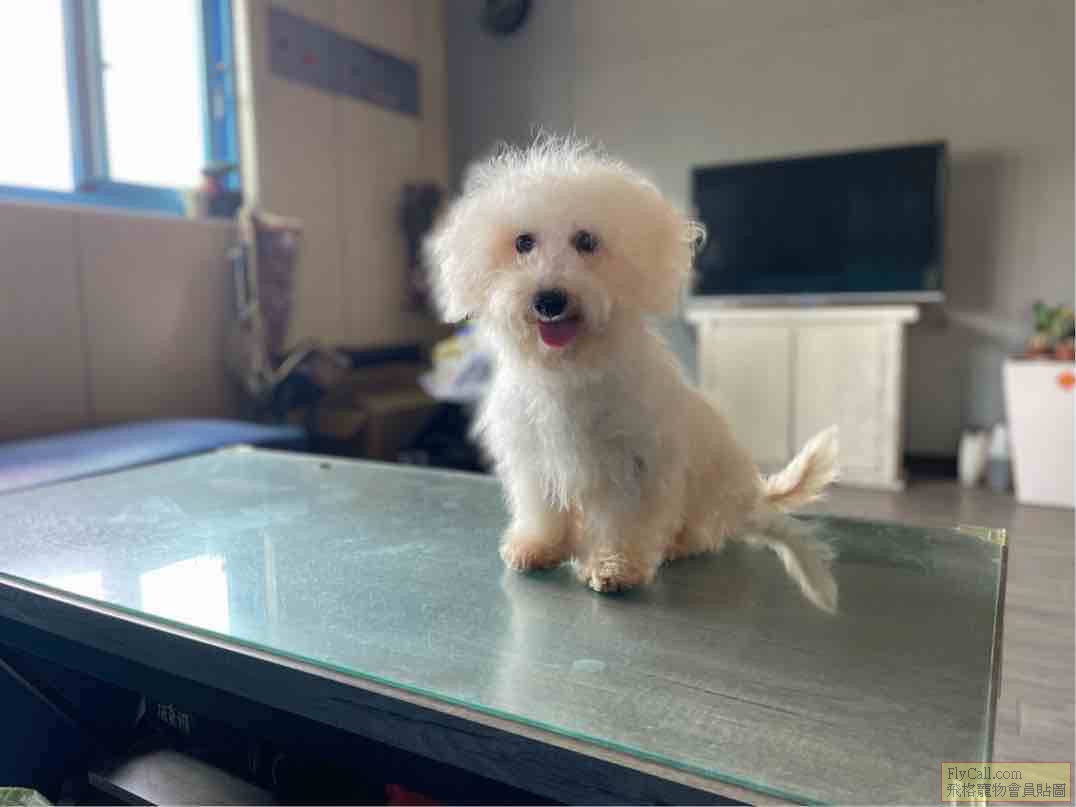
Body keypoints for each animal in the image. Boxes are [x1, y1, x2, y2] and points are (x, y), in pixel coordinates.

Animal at [425, 136, 839, 612]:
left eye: (586, 241)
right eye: (523, 242)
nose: (549, 299)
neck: (572, 369)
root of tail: (749, 496)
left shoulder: (634, 465)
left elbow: (623, 521)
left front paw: (614, 566)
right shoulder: (535, 459)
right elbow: (542, 509)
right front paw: (538, 547)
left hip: (708, 487)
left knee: (704, 530)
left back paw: (679, 544)